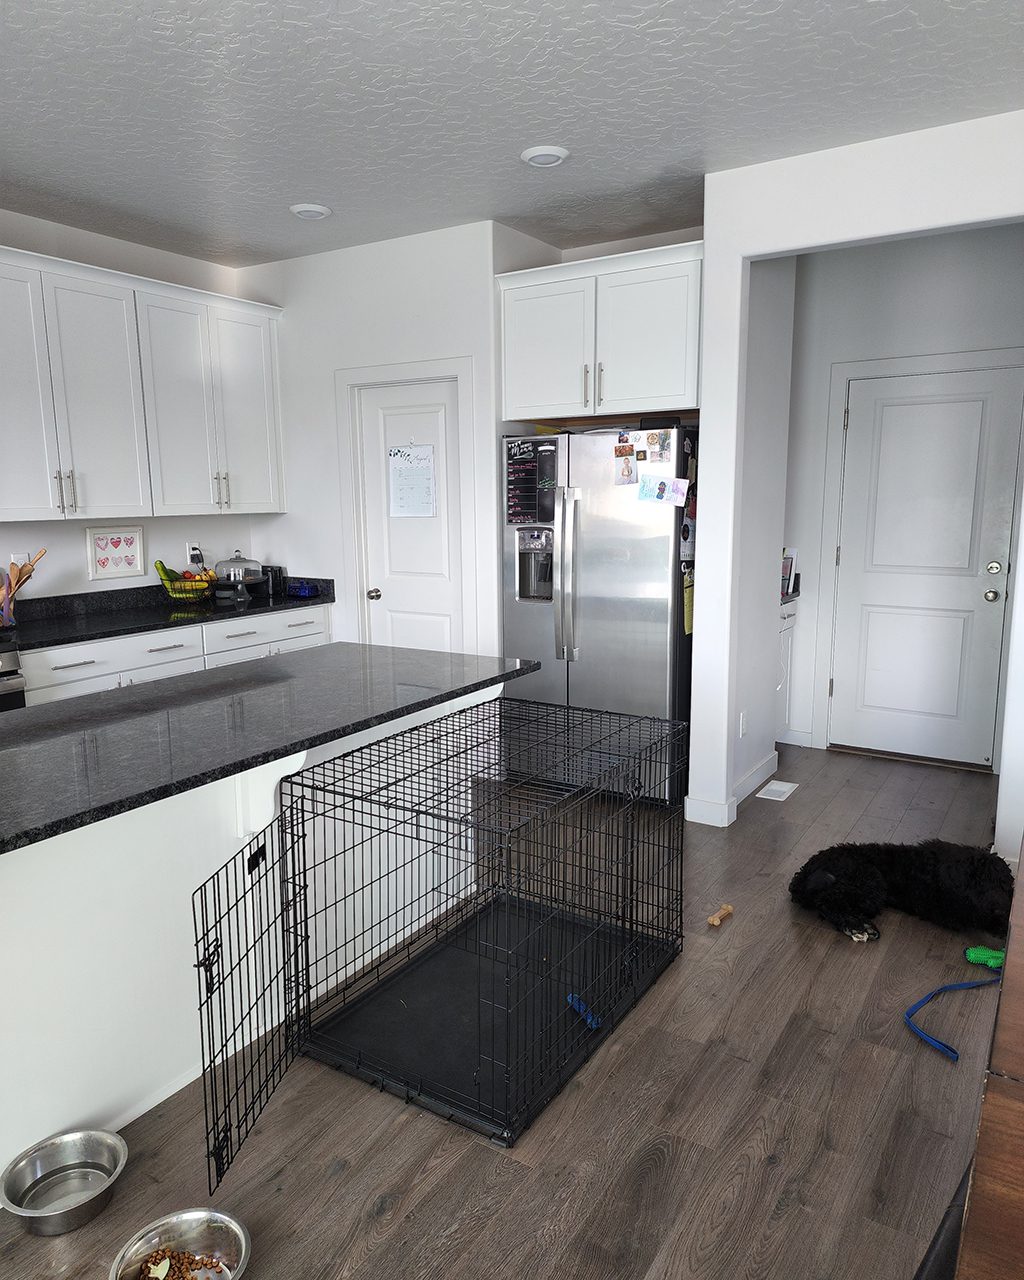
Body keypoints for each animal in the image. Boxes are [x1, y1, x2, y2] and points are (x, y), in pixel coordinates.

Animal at [788, 839, 1013, 942]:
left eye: (1004, 885)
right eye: (979, 882)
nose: (1000, 908)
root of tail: (804, 872)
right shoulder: (945, 909)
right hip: (869, 882)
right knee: (827, 902)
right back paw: (857, 927)